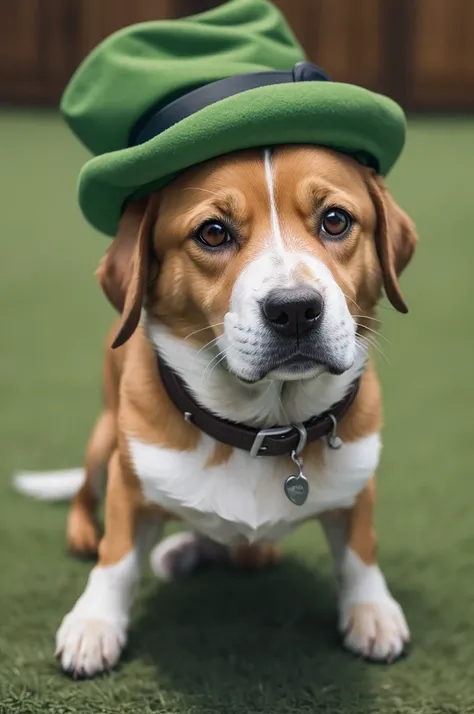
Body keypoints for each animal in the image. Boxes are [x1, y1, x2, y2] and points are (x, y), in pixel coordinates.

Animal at [14, 143, 416, 672]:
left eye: (335, 220)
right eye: (213, 232)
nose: (295, 309)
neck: (263, 427)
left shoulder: (357, 481)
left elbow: (359, 553)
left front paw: (372, 611)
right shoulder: (128, 483)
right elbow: (117, 560)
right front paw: (94, 622)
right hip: (104, 440)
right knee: (85, 493)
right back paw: (89, 534)